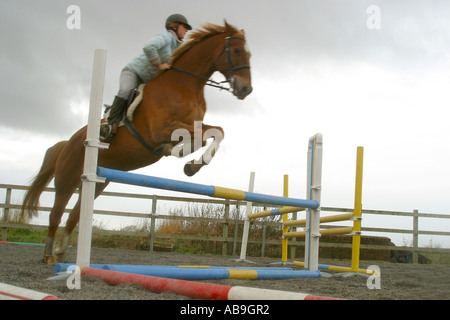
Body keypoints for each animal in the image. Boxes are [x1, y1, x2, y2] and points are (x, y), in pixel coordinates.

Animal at [21, 21, 251, 264]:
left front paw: (191, 164)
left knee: (74, 215)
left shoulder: (190, 125)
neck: (185, 84)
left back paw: (60, 251)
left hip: (97, 183)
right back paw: (49, 255)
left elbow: (216, 132)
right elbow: (202, 135)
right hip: (66, 181)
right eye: (237, 50)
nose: (246, 89)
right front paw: (186, 159)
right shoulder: (161, 129)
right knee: (55, 215)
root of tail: (67, 143)